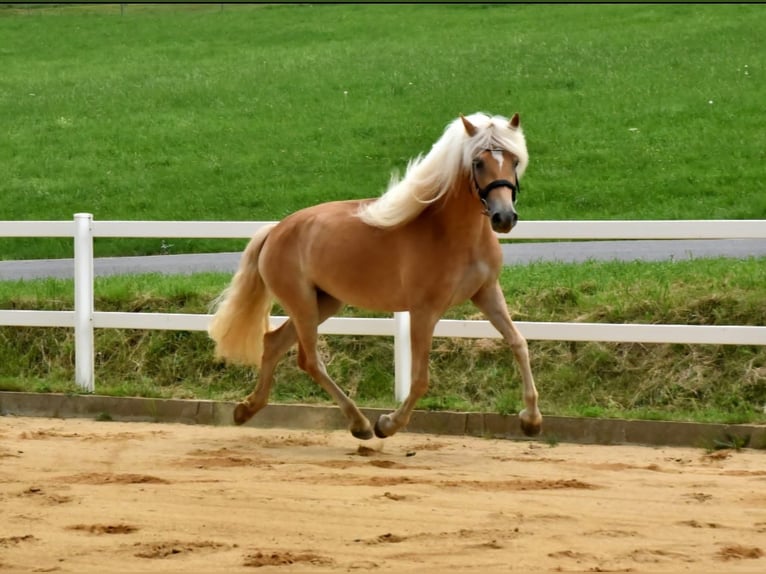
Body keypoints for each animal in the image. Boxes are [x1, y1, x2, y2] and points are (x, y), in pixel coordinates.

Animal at [210, 112, 544, 440]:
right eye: (478, 162)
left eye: (514, 160)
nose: (504, 218)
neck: (450, 233)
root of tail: (274, 230)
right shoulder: (424, 311)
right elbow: (420, 378)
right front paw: (388, 424)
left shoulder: (486, 293)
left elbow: (518, 343)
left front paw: (531, 420)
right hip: (302, 304)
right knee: (309, 360)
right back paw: (360, 424)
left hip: (324, 303)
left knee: (274, 343)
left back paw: (247, 409)